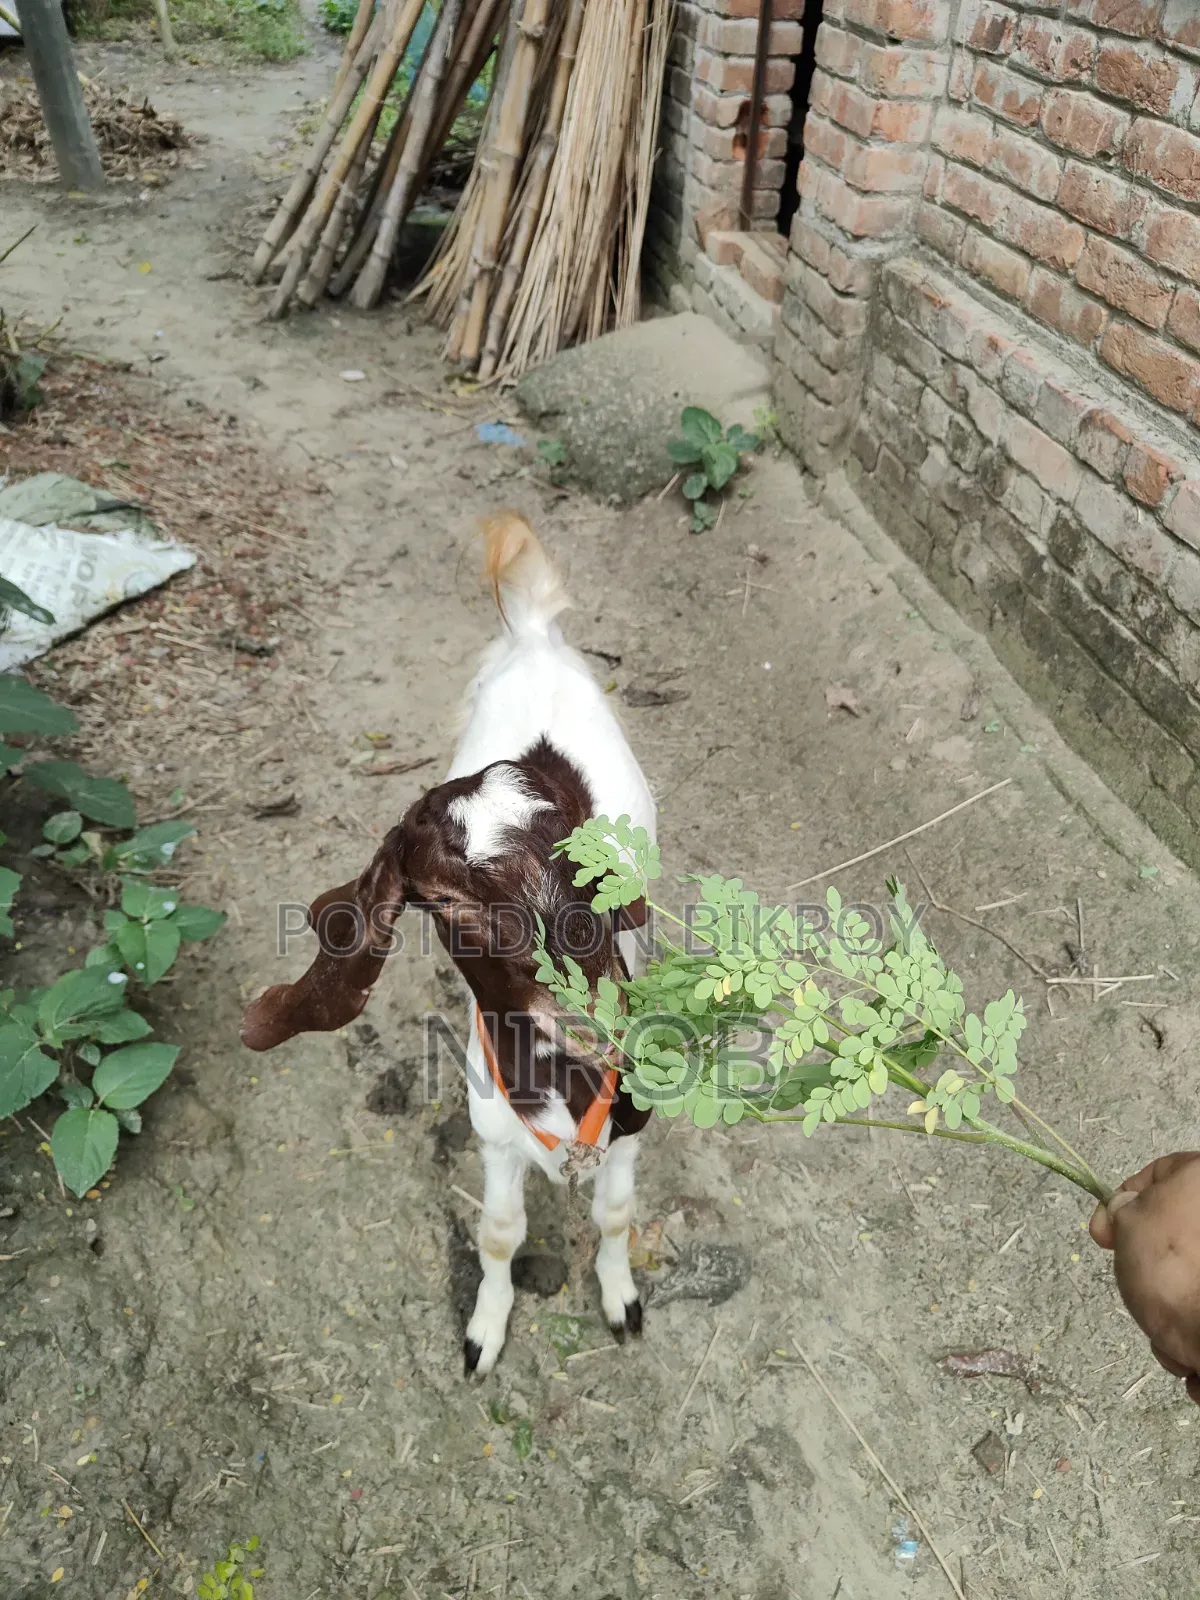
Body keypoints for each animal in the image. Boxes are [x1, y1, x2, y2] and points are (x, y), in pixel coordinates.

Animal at [241, 513, 656, 1375]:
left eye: (582, 856)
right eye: (443, 901)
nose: (597, 1016)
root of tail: (533, 635)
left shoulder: (632, 1131)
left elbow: (615, 1215)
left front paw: (620, 1299)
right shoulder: (493, 1135)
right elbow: (499, 1234)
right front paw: (484, 1331)